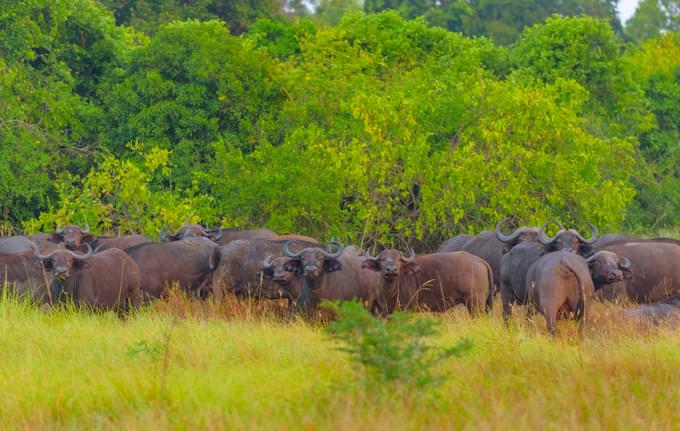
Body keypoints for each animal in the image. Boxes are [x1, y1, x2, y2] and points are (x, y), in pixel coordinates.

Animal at [362, 248, 494, 316]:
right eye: (382, 260)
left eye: (398, 260)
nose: (391, 270)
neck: (391, 291)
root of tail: (480, 261)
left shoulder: (408, 310)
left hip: (475, 303)